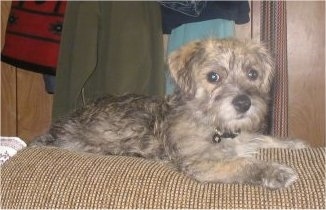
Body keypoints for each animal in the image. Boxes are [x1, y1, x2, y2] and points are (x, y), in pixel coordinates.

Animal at [30, 38, 306, 189]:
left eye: (252, 74)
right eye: (213, 77)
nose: (243, 103)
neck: (217, 127)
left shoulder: (245, 136)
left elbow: (264, 138)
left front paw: (294, 143)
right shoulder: (200, 163)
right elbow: (240, 163)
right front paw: (275, 172)